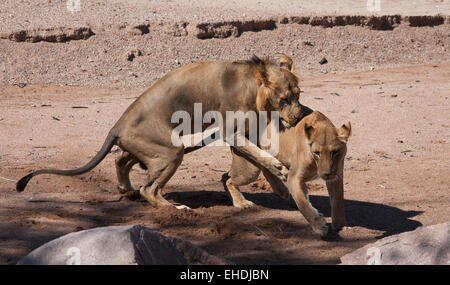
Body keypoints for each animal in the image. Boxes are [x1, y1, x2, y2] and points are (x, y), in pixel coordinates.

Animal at [17, 55, 306, 209]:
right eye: (284, 100)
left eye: (298, 95)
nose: (299, 116)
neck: (254, 88)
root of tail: (116, 126)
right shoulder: (229, 131)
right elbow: (261, 155)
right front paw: (279, 170)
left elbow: (259, 157)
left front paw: (279, 185)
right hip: (171, 152)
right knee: (149, 189)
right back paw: (175, 209)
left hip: (149, 148)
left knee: (120, 159)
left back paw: (126, 189)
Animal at [221, 111, 352, 235]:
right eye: (317, 153)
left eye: (335, 152)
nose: (326, 174)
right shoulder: (294, 177)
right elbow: (303, 204)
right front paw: (319, 226)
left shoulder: (336, 176)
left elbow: (337, 202)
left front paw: (341, 226)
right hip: (250, 170)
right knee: (227, 178)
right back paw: (242, 202)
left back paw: (281, 190)